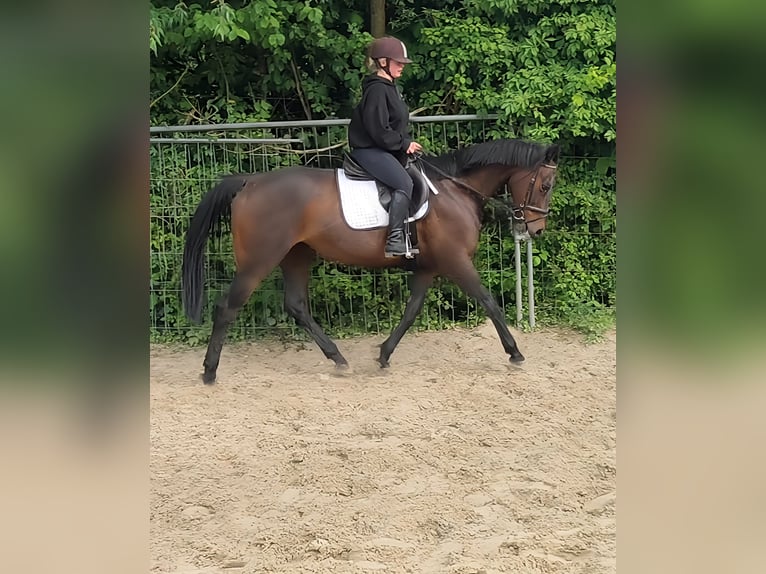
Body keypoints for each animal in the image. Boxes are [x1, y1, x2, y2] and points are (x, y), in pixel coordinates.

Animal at [181, 138, 560, 383]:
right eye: (545, 185)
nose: (537, 229)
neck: (456, 191)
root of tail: (250, 182)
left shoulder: (428, 268)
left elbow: (411, 311)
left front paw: (384, 354)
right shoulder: (456, 262)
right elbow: (489, 302)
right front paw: (515, 353)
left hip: (296, 256)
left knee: (297, 306)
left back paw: (338, 359)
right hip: (259, 260)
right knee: (227, 307)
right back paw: (210, 371)